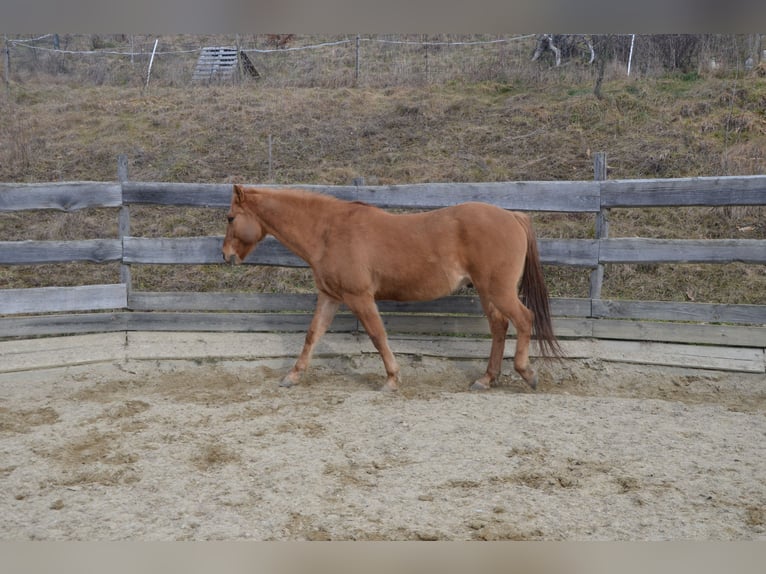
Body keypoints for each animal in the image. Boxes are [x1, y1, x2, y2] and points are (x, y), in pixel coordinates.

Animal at [222, 185, 563, 391]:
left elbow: (377, 335)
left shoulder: (359, 297)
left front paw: (391, 378)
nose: (225, 255)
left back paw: (526, 373)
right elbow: (312, 335)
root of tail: (512, 216)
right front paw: (292, 376)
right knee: (499, 327)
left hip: (498, 290)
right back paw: (486, 378)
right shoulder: (330, 297)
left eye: (230, 217)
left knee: (524, 320)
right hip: (487, 292)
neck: (329, 231)